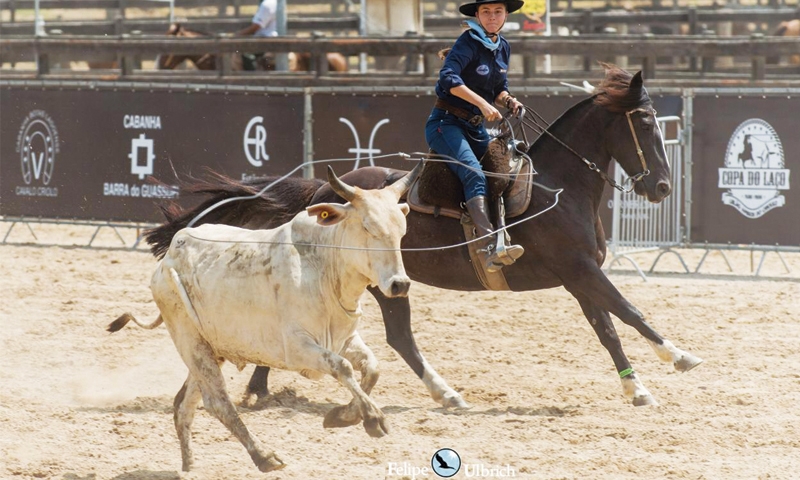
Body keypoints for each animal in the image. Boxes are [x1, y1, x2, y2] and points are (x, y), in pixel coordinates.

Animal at [147, 64, 704, 408]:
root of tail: (321, 191)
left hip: (382, 283)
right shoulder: (581, 270)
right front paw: (679, 358)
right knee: (391, 337)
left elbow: (608, 327)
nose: (660, 187)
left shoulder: (578, 277)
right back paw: (444, 393)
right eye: (646, 122)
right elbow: (629, 312)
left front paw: (638, 388)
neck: (557, 186)